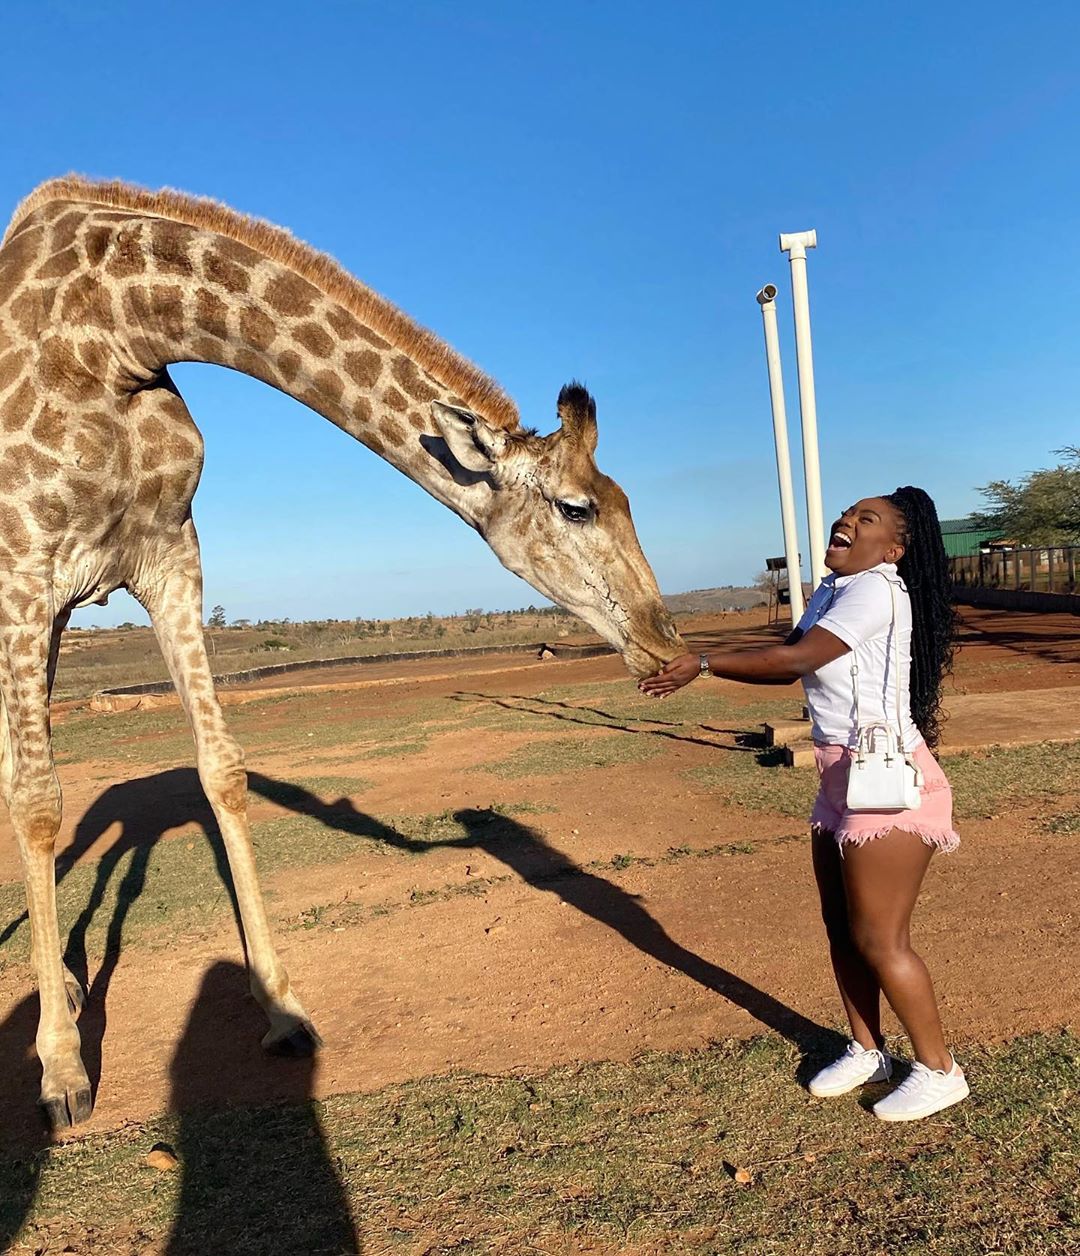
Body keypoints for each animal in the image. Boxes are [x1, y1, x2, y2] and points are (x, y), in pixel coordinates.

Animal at [0, 177, 688, 1130]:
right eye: (578, 507)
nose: (672, 651)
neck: (117, 330)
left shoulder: (169, 558)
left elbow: (222, 768)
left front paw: (282, 1010)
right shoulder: (23, 571)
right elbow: (36, 803)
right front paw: (62, 1071)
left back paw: (61, 979)